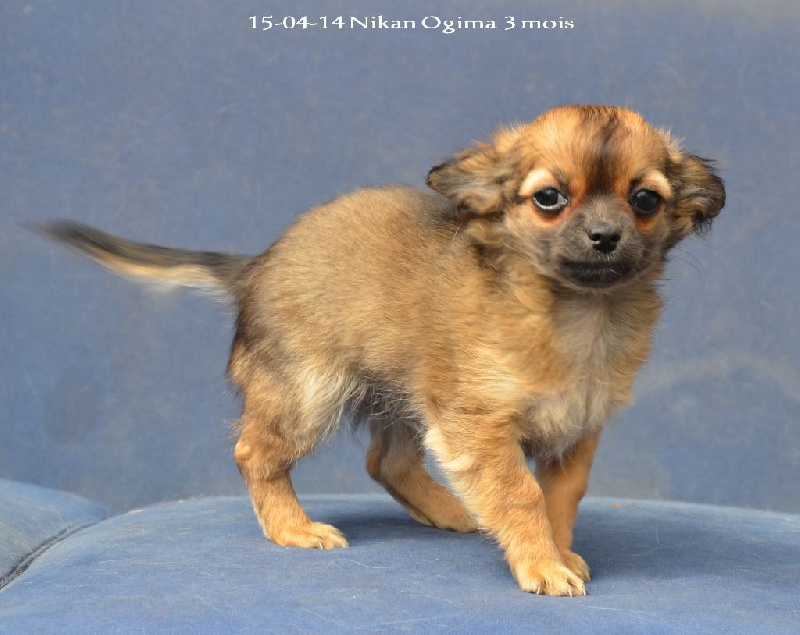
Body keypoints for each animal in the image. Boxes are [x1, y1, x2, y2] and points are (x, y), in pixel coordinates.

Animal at [38, 105, 725, 596]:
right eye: (549, 198)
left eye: (645, 200)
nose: (605, 236)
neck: (577, 315)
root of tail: (258, 265)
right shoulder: (477, 427)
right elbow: (521, 495)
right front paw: (540, 563)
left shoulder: (574, 431)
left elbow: (559, 500)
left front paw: (555, 551)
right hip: (308, 393)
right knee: (255, 453)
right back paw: (293, 528)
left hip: (405, 394)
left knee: (386, 464)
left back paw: (453, 512)